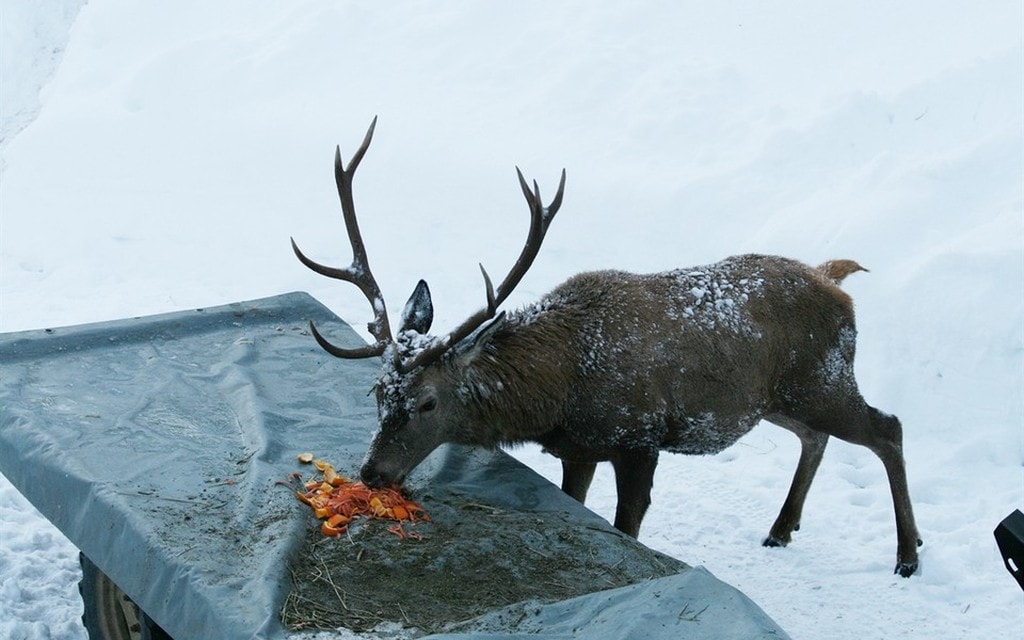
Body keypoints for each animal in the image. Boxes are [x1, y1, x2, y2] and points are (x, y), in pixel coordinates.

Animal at [292, 119, 922, 577]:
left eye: (427, 402)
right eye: (377, 393)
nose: (372, 472)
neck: (561, 392)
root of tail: (835, 281)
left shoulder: (639, 437)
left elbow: (628, 526)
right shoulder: (578, 448)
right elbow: (581, 504)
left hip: (824, 377)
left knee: (887, 427)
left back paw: (908, 554)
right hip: (778, 398)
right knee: (816, 437)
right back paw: (780, 528)